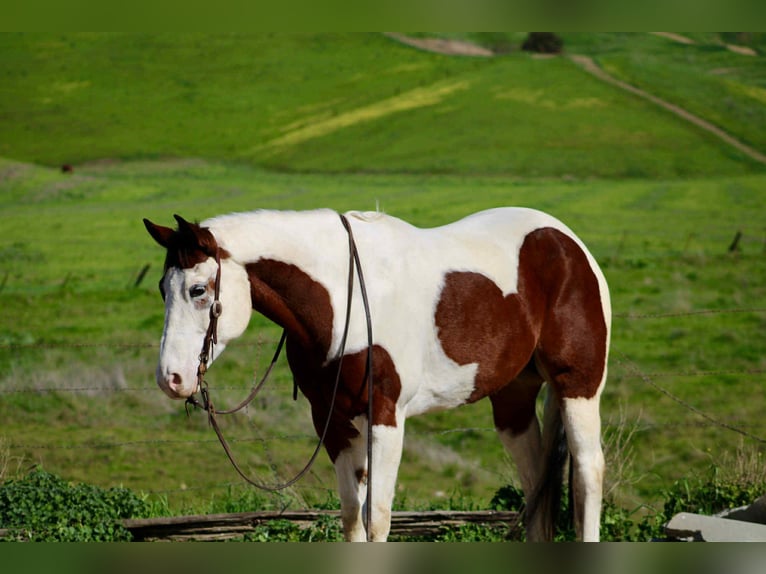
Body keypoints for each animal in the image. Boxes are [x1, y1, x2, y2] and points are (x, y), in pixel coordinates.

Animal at [143, 207, 611, 542]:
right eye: (163, 289)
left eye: (198, 290)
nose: (171, 378)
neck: (338, 303)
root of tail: (567, 242)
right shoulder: (332, 421)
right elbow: (353, 517)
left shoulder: (385, 419)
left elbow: (378, 518)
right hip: (513, 401)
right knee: (537, 485)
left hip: (578, 387)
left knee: (588, 473)